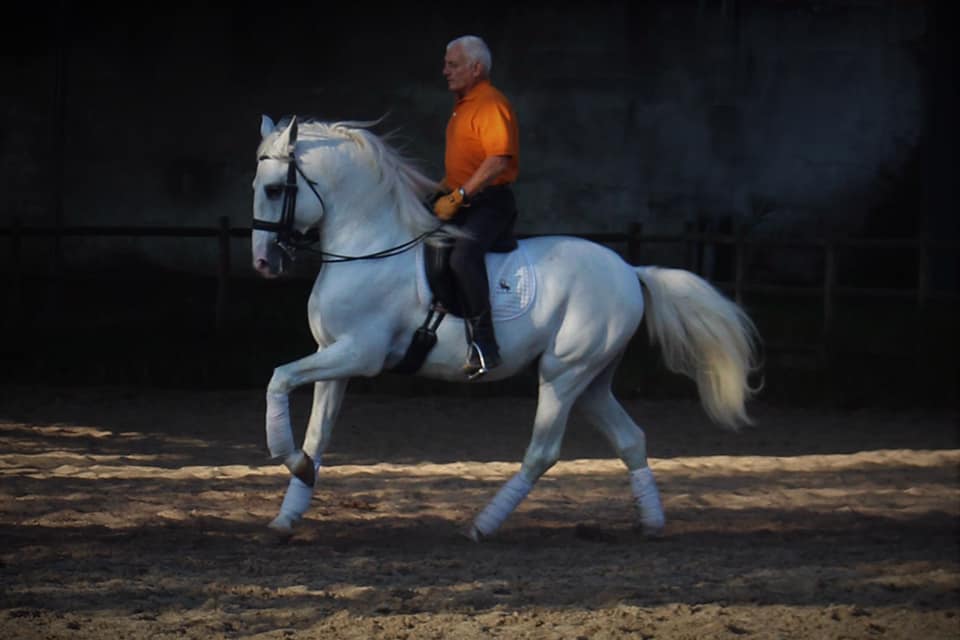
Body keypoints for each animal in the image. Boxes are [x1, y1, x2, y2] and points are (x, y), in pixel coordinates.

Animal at [251, 115, 760, 540]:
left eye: (274, 190)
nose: (263, 263)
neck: (370, 247)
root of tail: (630, 270)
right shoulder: (334, 356)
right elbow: (316, 435)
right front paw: (289, 508)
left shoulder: (360, 353)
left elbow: (277, 378)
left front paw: (289, 460)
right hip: (592, 380)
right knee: (631, 440)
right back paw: (651, 524)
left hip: (563, 373)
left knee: (543, 452)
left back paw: (483, 525)